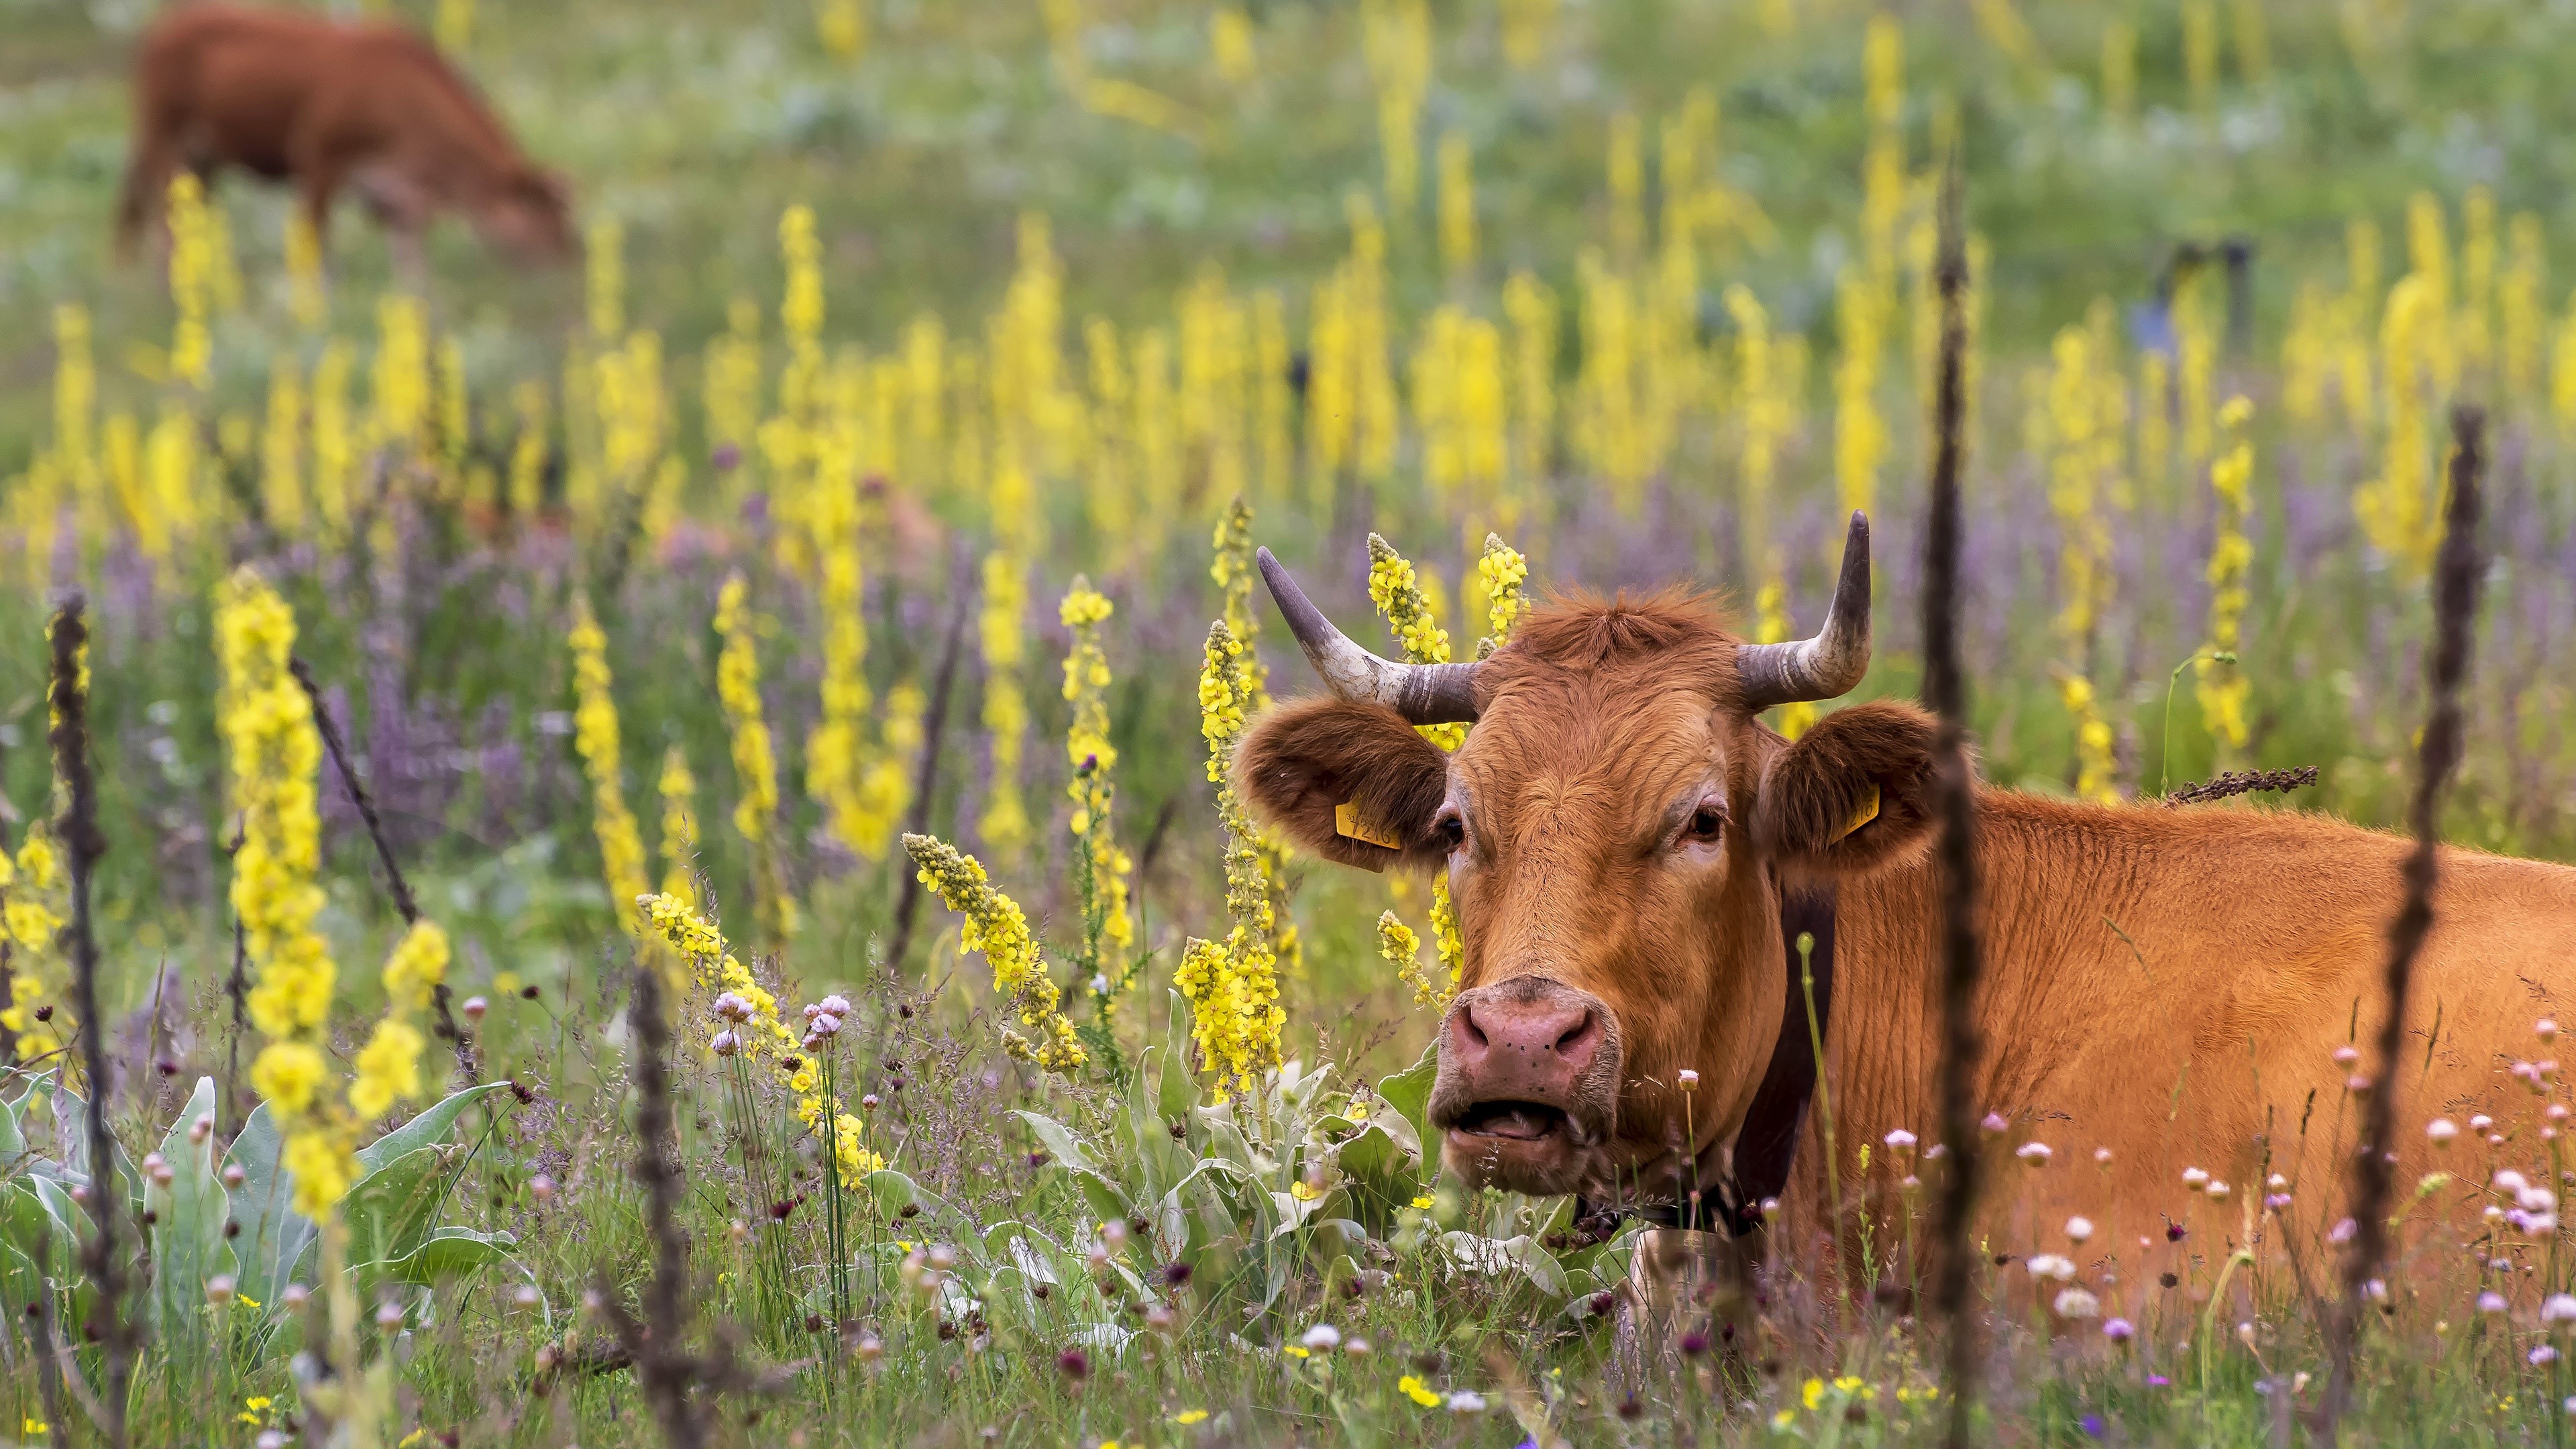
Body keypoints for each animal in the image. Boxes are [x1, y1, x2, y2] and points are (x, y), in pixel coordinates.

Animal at [117, 5, 576, 277]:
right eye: (548, 217)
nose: (571, 258)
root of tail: (165, 25)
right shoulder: (321, 161)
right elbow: (316, 249)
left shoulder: (395, 200)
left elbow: (413, 272)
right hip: (162, 140)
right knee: (151, 217)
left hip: (203, 162)